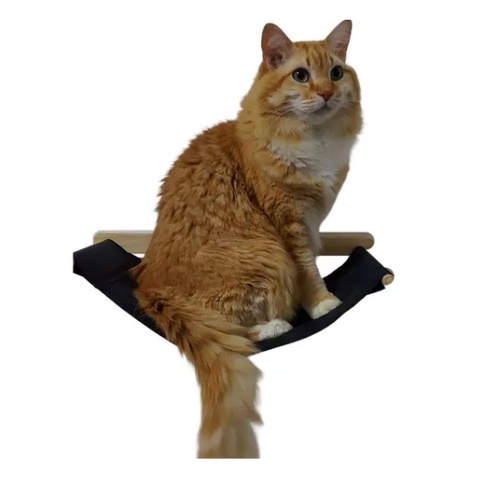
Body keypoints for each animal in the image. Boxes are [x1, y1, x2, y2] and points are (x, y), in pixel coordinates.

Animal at [131, 19, 362, 458]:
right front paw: (322, 303)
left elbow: (316, 256)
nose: (326, 92)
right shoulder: (289, 223)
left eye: (336, 72)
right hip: (265, 257)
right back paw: (276, 326)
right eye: (301, 75)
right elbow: (308, 270)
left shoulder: (312, 223)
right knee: (235, 331)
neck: (313, 140)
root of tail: (149, 286)